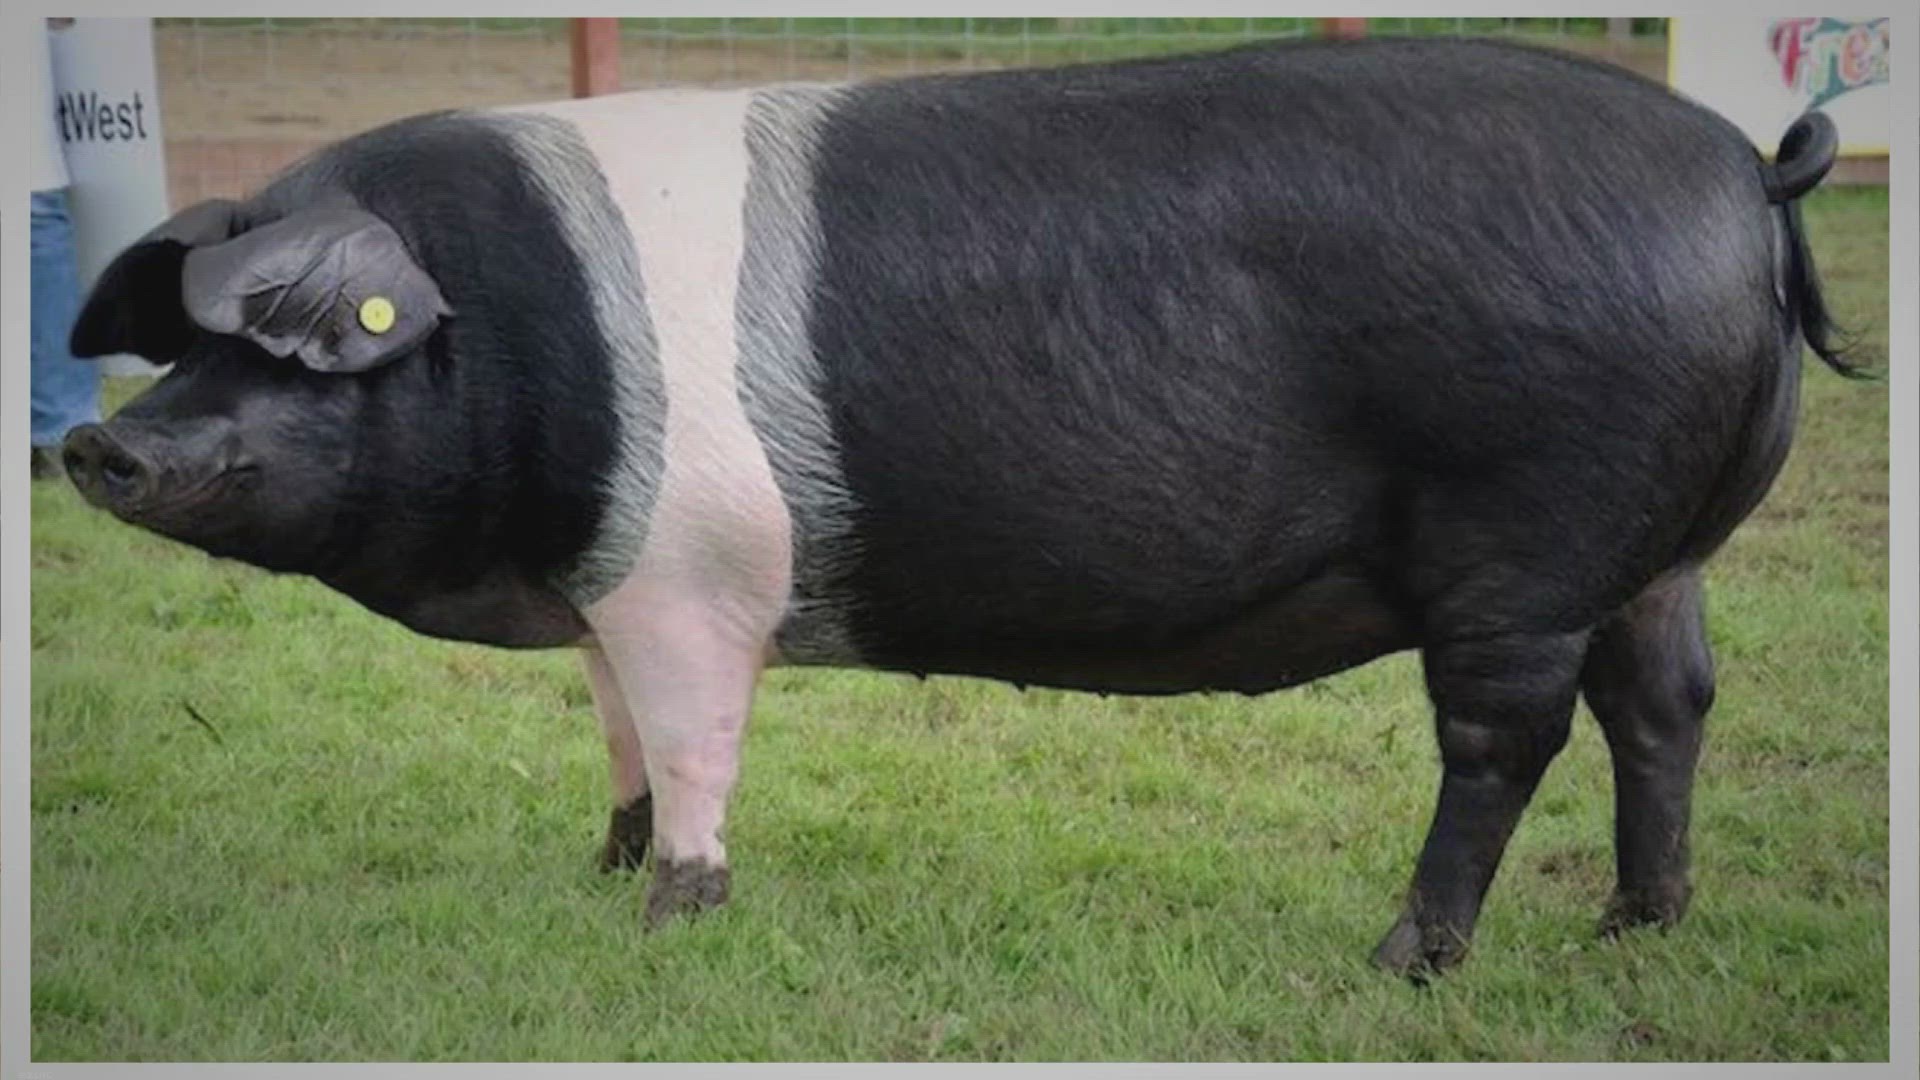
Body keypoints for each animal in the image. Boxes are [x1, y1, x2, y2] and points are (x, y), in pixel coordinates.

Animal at [60, 37, 1856, 976]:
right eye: (184, 341)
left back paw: (1403, 961)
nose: (103, 449)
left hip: (1529, 535)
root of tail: (1746, 171)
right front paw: (600, 862)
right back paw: (1634, 932)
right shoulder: (607, 587)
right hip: (1658, 550)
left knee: (1509, 736)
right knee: (1670, 702)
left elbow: (697, 738)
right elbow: (619, 729)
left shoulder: (692, 581)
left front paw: (667, 918)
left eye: (293, 341)